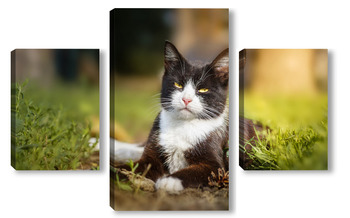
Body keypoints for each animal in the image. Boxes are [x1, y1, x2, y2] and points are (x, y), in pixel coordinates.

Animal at [112, 41, 230, 193]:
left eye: (203, 89)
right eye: (178, 84)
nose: (186, 99)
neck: (183, 125)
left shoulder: (216, 163)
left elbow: (196, 171)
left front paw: (170, 181)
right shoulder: (152, 154)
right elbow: (133, 167)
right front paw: (114, 171)